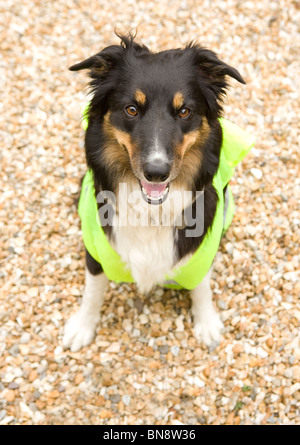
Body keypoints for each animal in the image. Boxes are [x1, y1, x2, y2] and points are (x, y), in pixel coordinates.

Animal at [62, 32, 253, 350]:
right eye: (131, 109)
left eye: (184, 111)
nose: (156, 171)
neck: (151, 211)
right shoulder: (97, 247)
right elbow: (93, 288)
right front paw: (83, 326)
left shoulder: (201, 251)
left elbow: (202, 286)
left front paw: (206, 322)